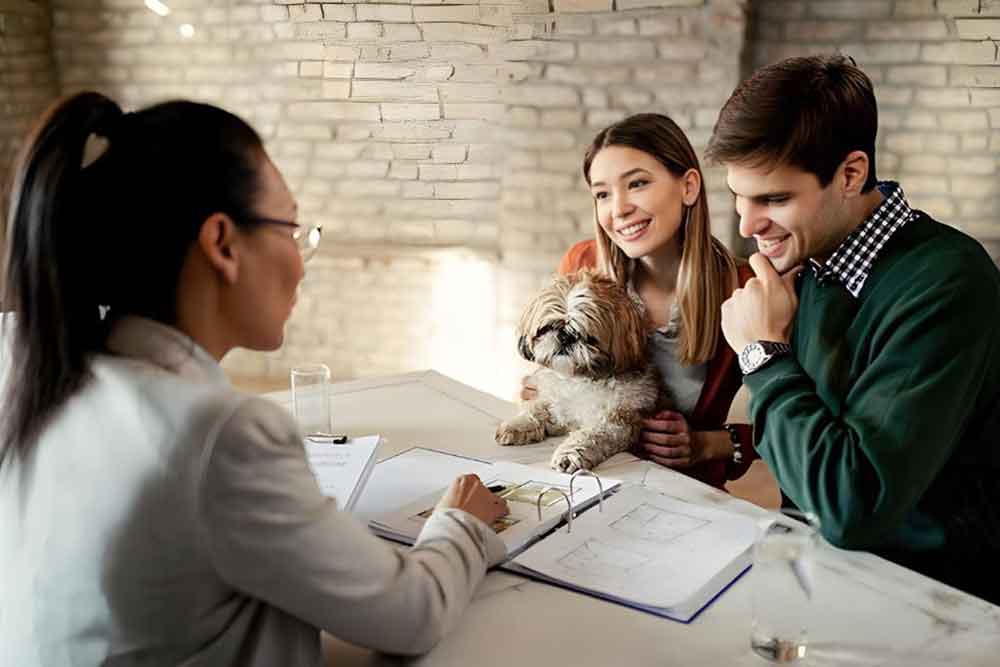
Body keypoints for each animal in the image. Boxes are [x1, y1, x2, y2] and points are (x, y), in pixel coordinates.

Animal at [494, 272, 664, 474]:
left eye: (588, 337)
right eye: (547, 328)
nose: (564, 336)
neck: (580, 378)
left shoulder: (617, 421)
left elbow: (590, 436)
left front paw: (568, 456)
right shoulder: (556, 404)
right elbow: (537, 408)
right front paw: (518, 425)